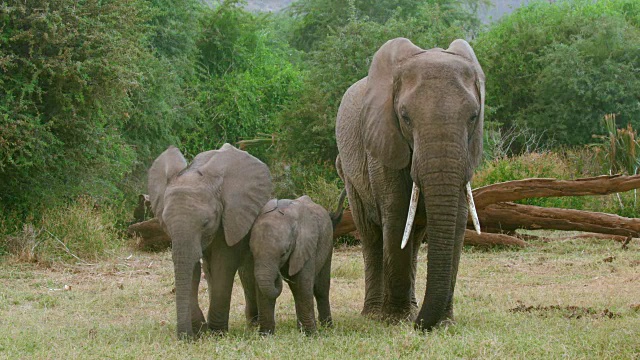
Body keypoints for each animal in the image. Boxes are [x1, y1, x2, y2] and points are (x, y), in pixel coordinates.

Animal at [148, 143, 272, 338]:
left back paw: (253, 323)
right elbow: (194, 268)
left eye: (206, 223)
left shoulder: (233, 215)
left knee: (246, 270)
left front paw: (216, 332)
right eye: (165, 223)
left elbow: (224, 263)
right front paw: (200, 329)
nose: (185, 338)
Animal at [249, 194, 344, 334]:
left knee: (320, 288)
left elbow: (303, 284)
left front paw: (311, 334)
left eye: (284, 253)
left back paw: (327, 327)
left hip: (328, 243)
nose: (277, 276)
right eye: (252, 251)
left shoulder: (306, 246)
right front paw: (265, 335)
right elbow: (261, 290)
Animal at [336, 38, 484, 330]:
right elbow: (396, 213)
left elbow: (458, 219)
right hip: (349, 173)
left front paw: (443, 323)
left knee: (413, 238)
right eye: (405, 117)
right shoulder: (383, 140)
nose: (420, 325)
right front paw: (396, 319)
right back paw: (374, 313)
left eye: (473, 117)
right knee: (371, 235)